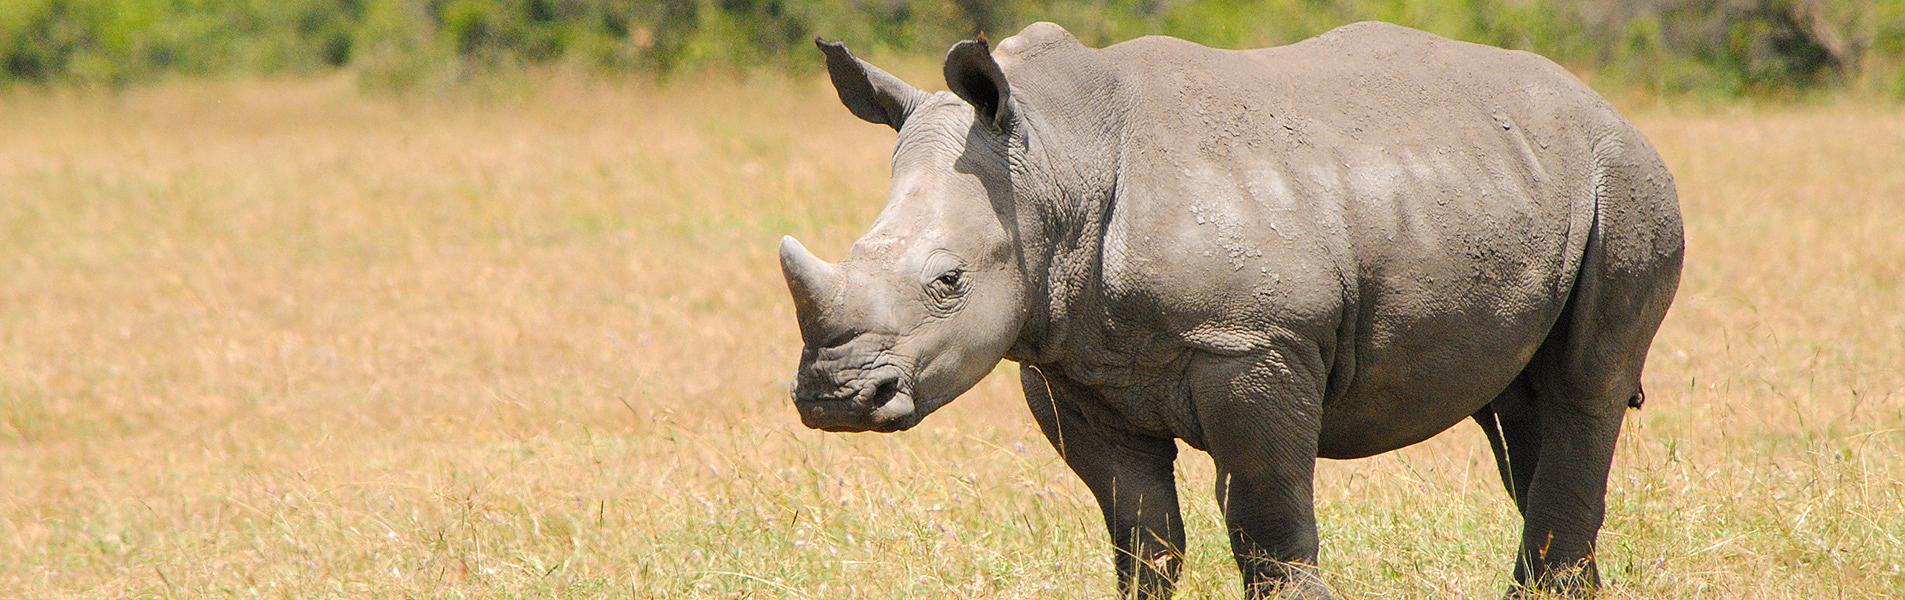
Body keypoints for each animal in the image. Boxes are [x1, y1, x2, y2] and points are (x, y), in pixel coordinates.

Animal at [778, 21, 1683, 598]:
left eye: (950, 279)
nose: (834, 400)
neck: (1054, 163)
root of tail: (1602, 103)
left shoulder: (1253, 342)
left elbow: (1265, 517)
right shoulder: (1067, 362)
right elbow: (1139, 534)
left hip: (1627, 182)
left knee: (1584, 387)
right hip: (1508, 180)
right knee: (1517, 408)